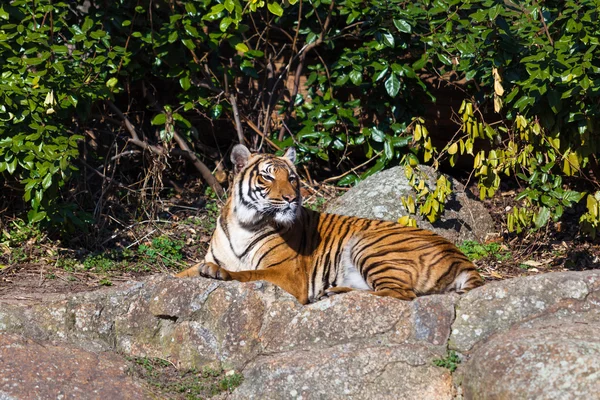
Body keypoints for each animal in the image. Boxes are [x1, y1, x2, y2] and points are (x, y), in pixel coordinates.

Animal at [176, 144, 486, 304]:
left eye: (291, 178)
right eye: (267, 176)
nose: (291, 198)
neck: (246, 222)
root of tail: (463, 258)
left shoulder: (287, 273)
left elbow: (249, 273)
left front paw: (218, 273)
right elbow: (178, 276)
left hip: (369, 244)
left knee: (398, 294)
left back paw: (333, 293)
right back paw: (333, 291)